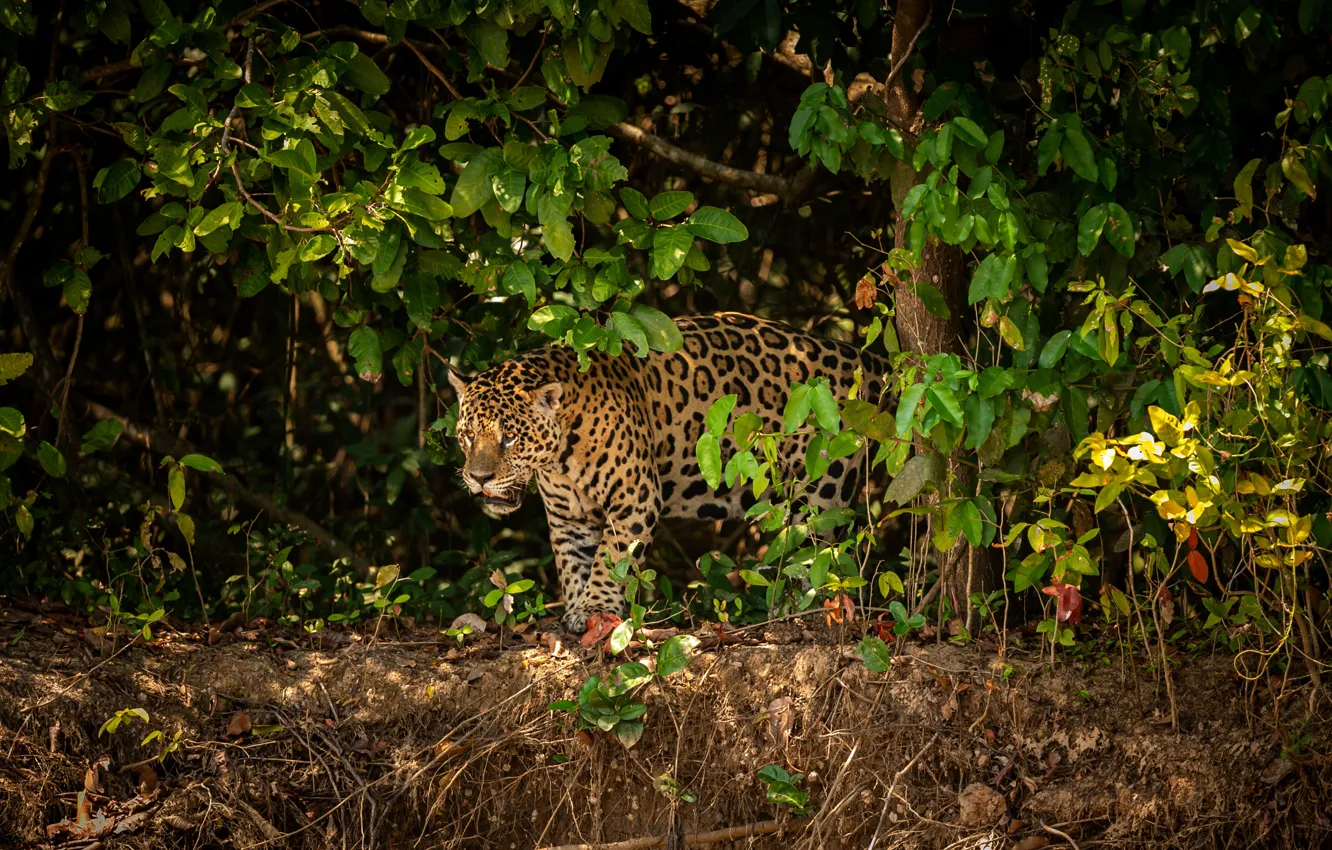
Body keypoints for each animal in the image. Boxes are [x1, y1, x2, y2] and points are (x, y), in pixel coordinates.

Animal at [447, 312, 889, 633]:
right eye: (467, 436)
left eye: (509, 439)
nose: (479, 478)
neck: (561, 456)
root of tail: (859, 356)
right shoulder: (567, 516)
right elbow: (573, 562)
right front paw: (576, 610)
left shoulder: (634, 496)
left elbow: (610, 559)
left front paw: (597, 607)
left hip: (822, 489)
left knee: (819, 553)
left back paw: (799, 610)